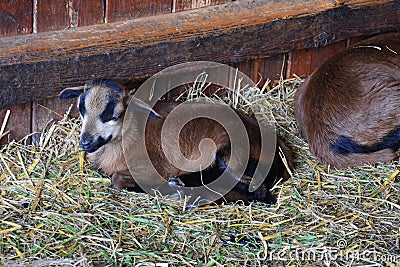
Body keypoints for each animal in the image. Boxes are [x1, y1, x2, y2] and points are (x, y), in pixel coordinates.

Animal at [59, 78, 292, 204]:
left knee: (259, 193)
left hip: (231, 153)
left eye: (112, 115)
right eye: (82, 109)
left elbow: (116, 180)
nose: (85, 142)